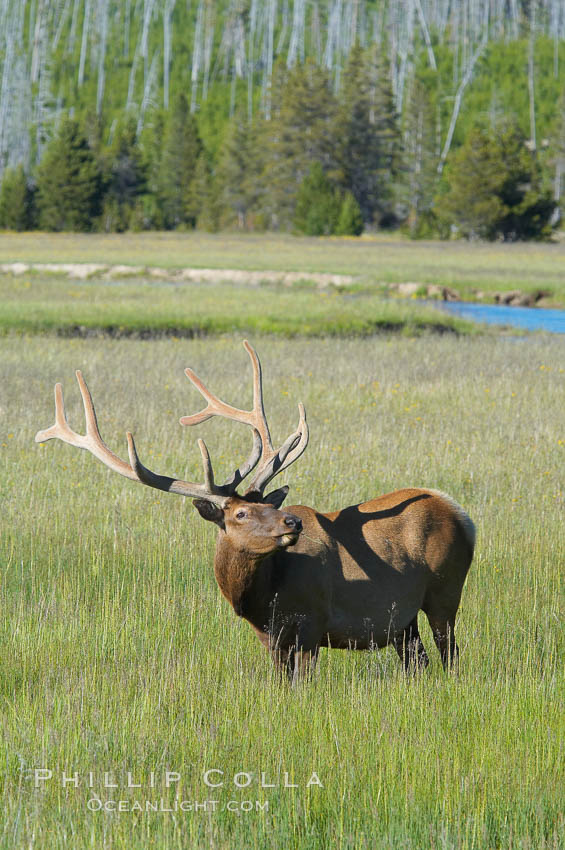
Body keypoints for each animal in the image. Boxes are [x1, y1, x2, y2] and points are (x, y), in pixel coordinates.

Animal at [35, 342, 474, 680]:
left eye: (266, 504)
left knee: (450, 654)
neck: (261, 598)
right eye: (240, 515)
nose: (293, 521)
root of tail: (463, 515)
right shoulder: (271, 637)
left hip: (445, 591)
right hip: (404, 622)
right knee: (418, 661)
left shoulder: (312, 623)